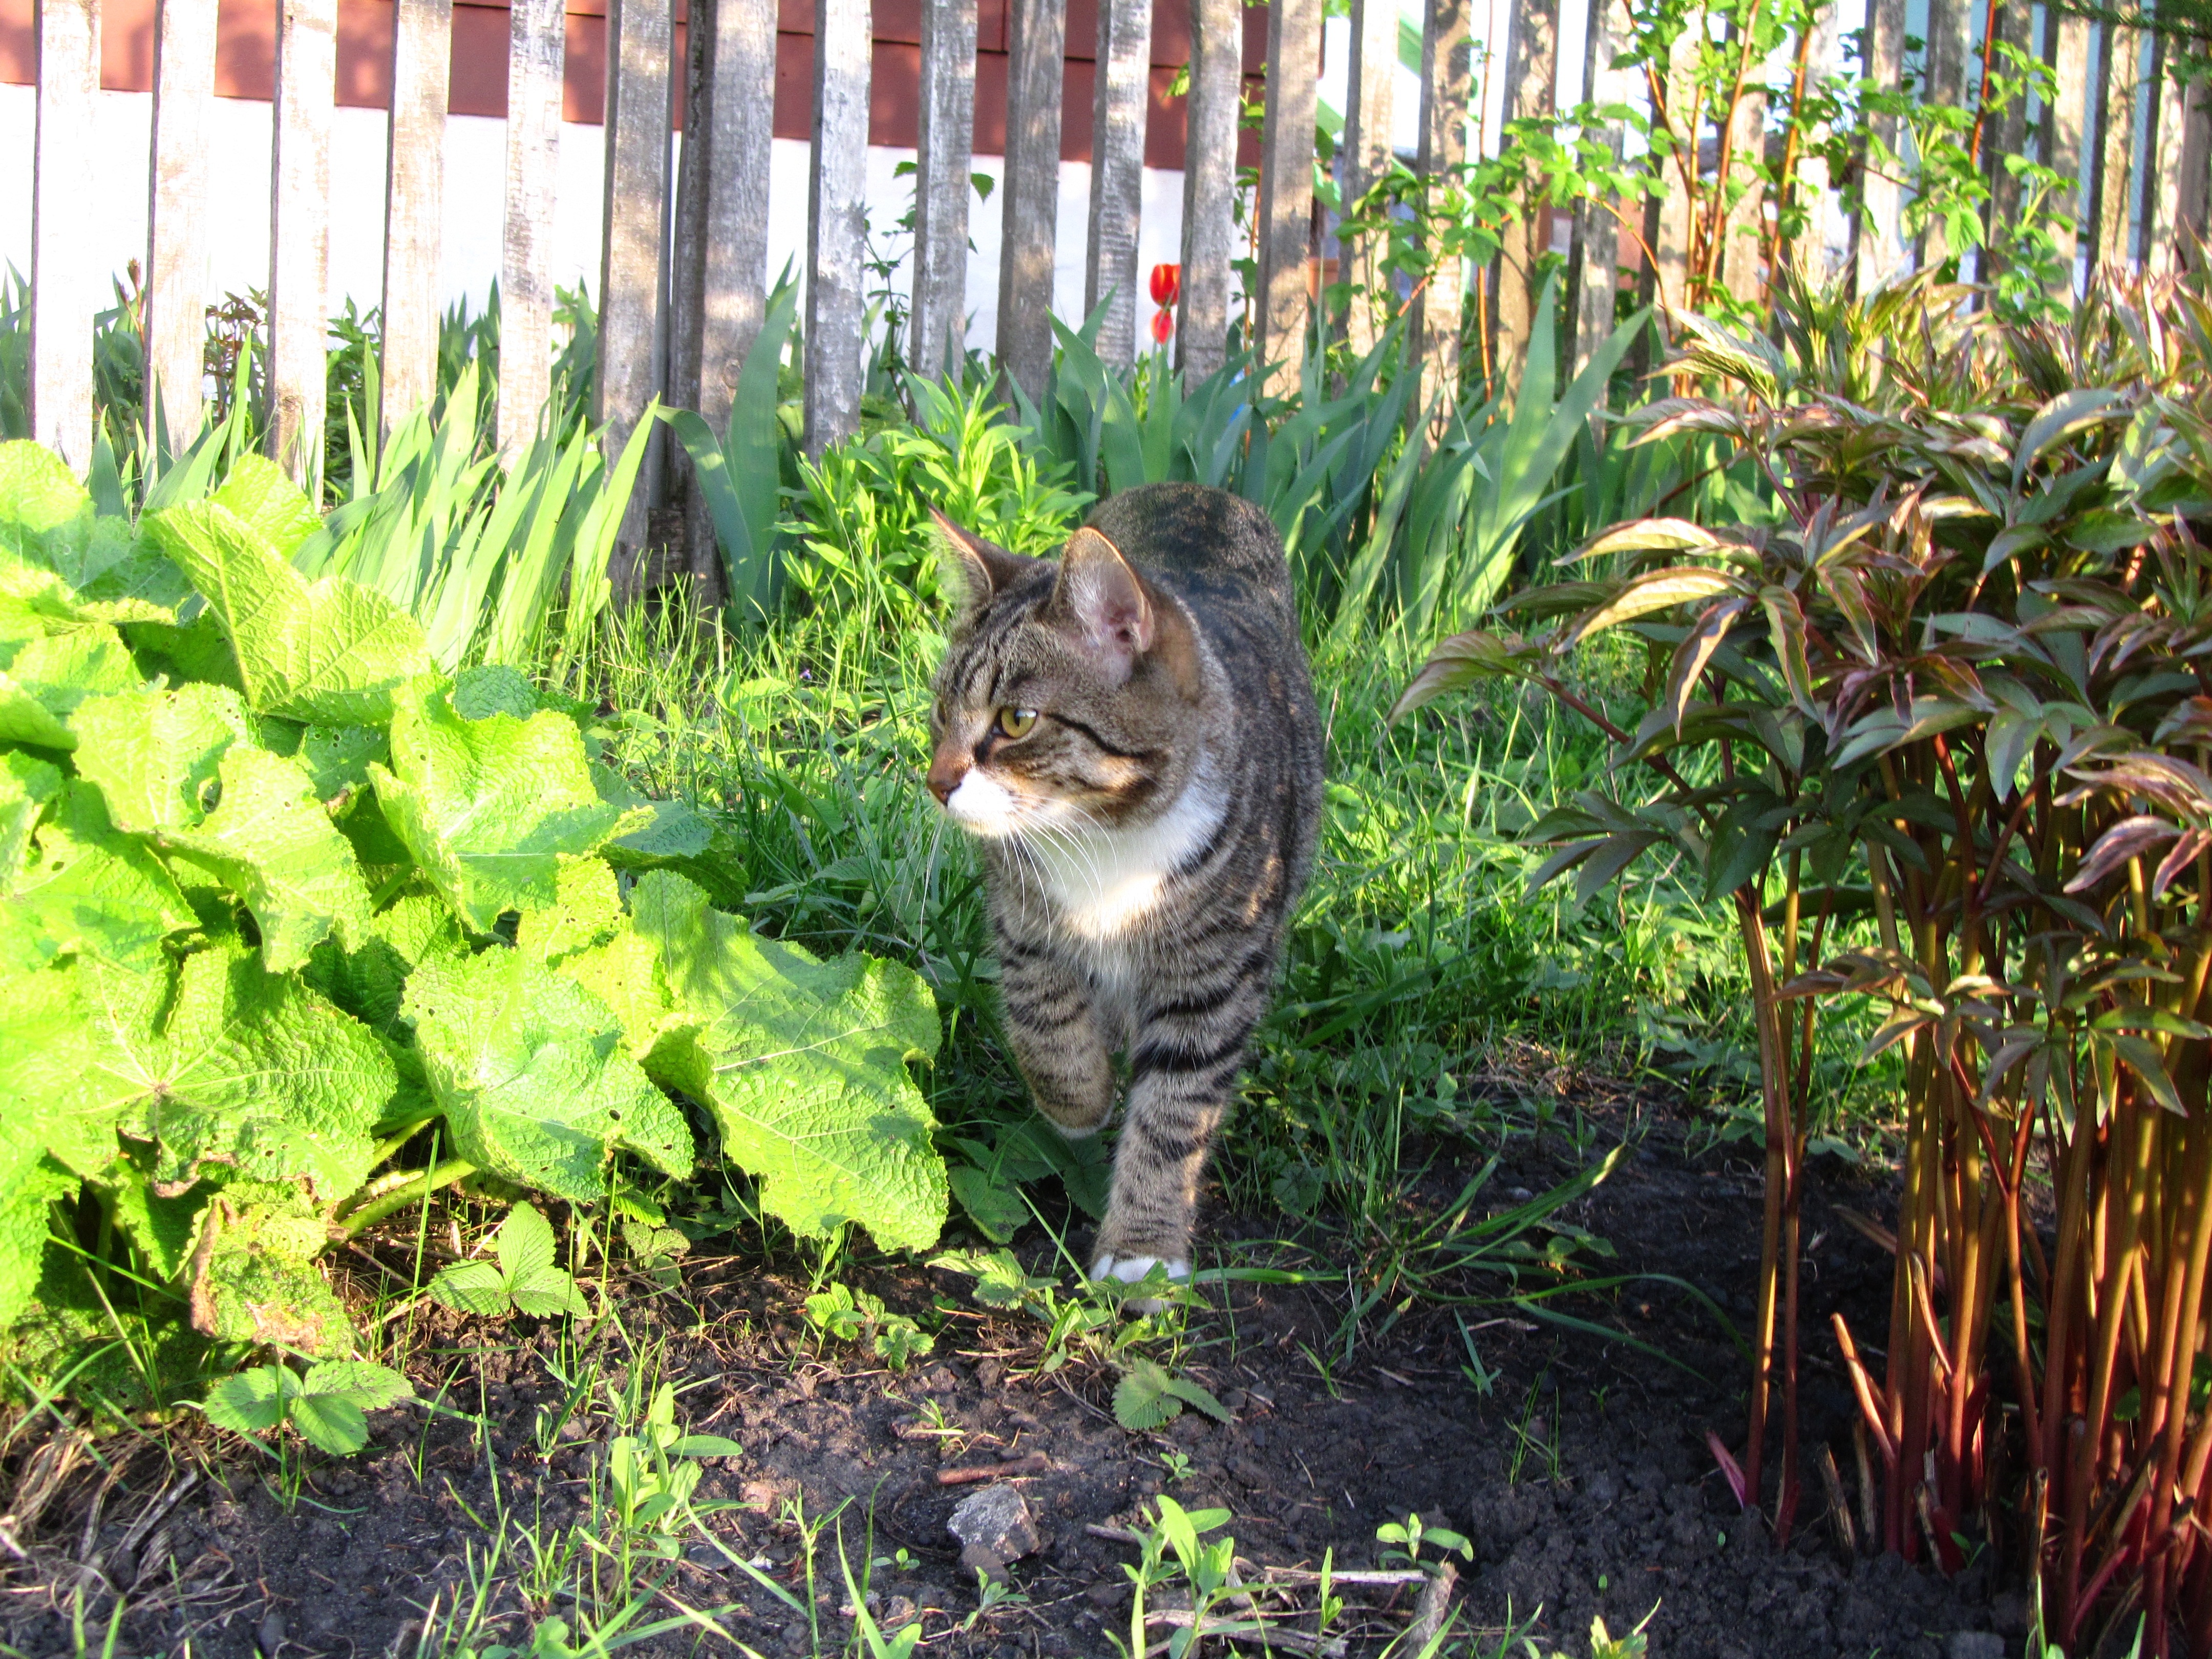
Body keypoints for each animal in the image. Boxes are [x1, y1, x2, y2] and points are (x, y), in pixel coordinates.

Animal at [924, 486, 1318, 1291]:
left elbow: (1176, 1109)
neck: (1108, 834)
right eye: (943, 710)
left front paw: (1141, 1249)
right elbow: (1043, 1017)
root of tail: (1195, 491)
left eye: (1016, 720)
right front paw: (1079, 1101)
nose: (936, 782)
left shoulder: (1215, 973)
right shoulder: (1021, 918)